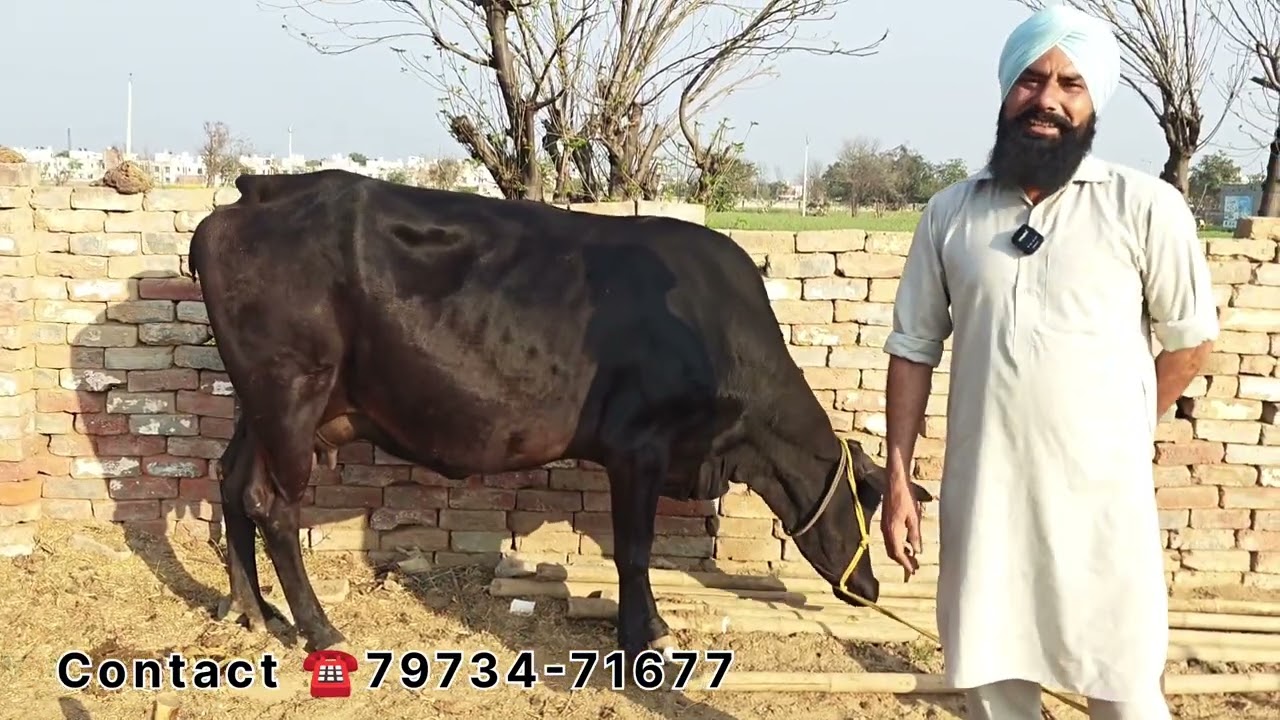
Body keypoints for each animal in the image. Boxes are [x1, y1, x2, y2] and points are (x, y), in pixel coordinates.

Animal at [189, 169, 934, 662]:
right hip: (291, 392)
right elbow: (634, 550)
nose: (870, 585)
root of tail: (258, 190)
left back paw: (250, 609)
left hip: (260, 406)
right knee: (274, 507)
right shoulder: (639, 447)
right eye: (868, 502)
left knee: (233, 483)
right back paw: (318, 629)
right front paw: (645, 635)